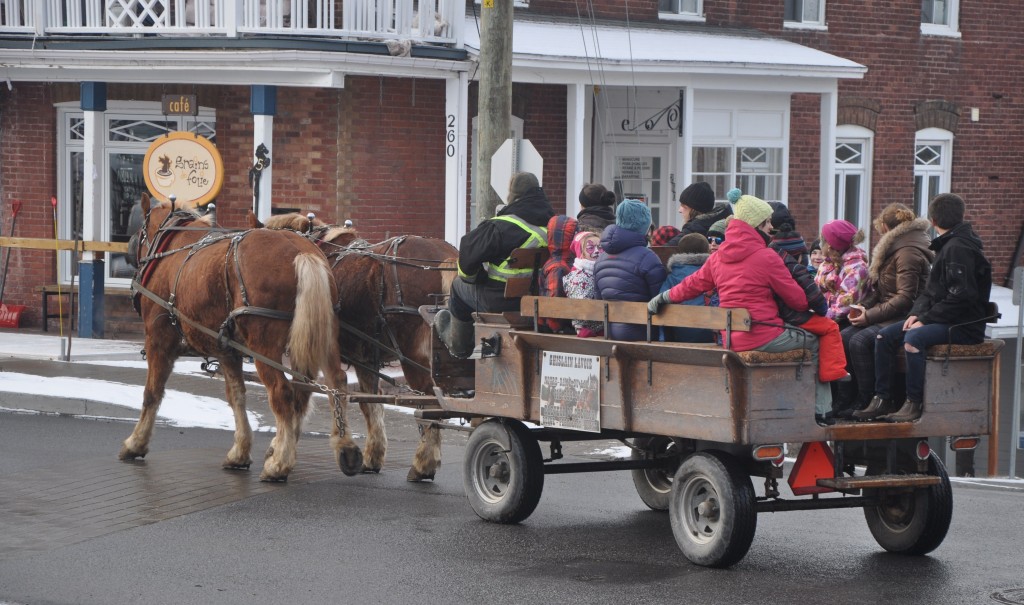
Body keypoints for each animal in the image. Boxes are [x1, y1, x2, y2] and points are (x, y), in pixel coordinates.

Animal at [122, 198, 364, 483]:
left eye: (141, 228)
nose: (128, 248)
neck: (169, 248)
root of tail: (302, 252)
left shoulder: (158, 340)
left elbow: (152, 392)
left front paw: (136, 443)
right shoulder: (227, 350)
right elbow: (236, 396)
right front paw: (239, 452)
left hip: (265, 345)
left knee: (282, 392)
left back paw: (279, 464)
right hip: (323, 333)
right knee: (335, 382)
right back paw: (345, 448)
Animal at [251, 212, 456, 483]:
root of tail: (446, 256)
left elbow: (301, 397)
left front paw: (279, 451)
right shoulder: (366, 359)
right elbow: (371, 405)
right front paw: (373, 456)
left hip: (415, 356)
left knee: (430, 404)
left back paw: (424, 463)